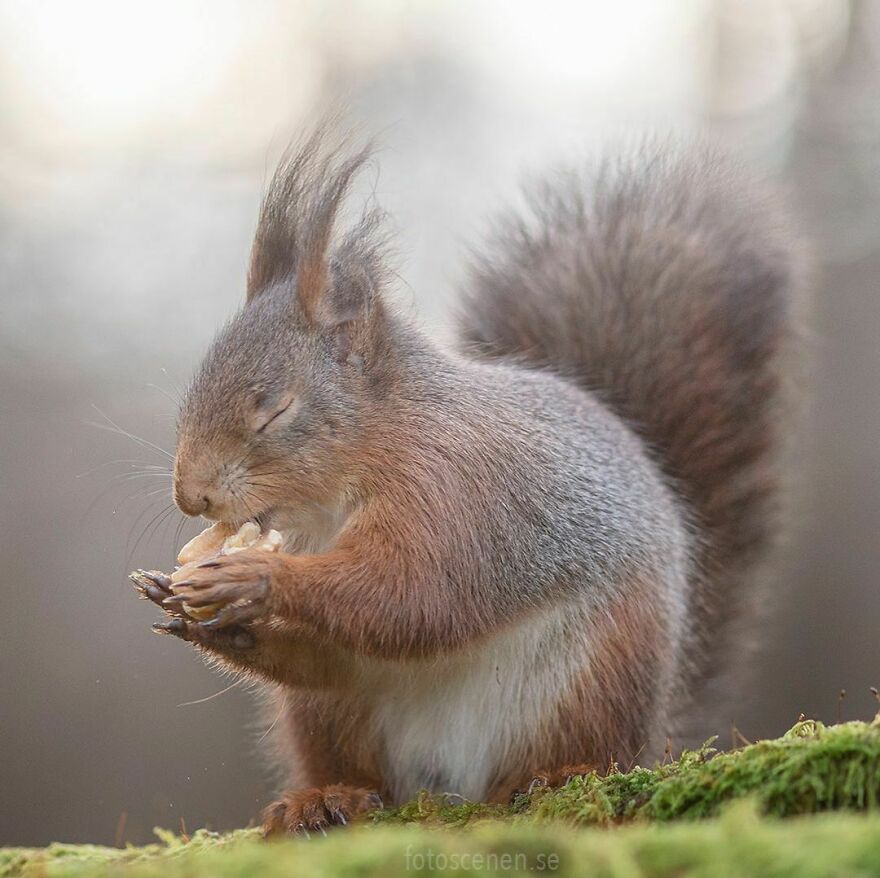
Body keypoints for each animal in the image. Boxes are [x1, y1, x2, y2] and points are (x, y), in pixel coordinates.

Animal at [135, 127, 805, 835]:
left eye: (274, 410)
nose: (192, 497)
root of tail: (452, 786)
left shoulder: (456, 491)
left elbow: (412, 594)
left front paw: (252, 577)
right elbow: (349, 639)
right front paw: (204, 614)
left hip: (596, 679)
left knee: (593, 750)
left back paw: (556, 777)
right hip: (334, 714)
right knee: (341, 715)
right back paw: (325, 798)